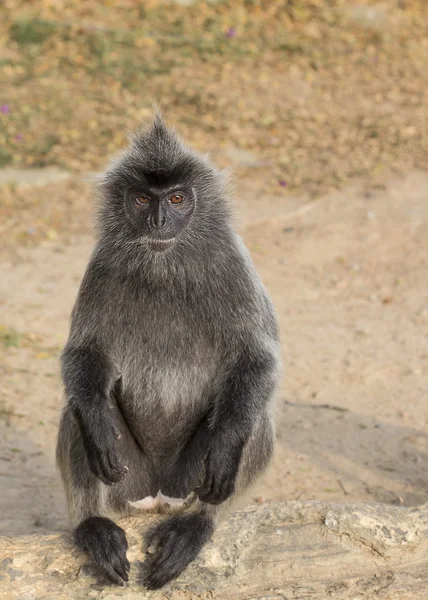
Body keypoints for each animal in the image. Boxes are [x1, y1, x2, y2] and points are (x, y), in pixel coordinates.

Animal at [55, 113, 280, 592]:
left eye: (176, 198)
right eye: (142, 198)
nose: (158, 221)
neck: (165, 265)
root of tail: (158, 495)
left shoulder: (231, 261)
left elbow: (258, 359)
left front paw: (227, 450)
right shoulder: (101, 265)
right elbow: (83, 356)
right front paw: (97, 428)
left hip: (187, 477)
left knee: (253, 415)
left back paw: (195, 526)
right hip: (128, 480)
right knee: (79, 410)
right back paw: (93, 525)